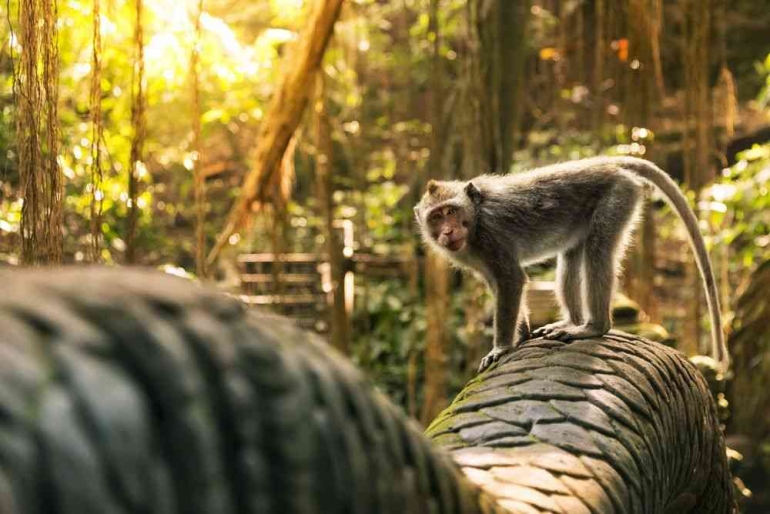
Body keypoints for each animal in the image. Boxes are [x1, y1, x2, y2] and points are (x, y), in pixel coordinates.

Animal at [414, 156, 729, 374]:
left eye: (451, 211)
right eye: (436, 217)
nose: (447, 232)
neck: (476, 218)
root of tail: (608, 162)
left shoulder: (492, 236)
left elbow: (511, 280)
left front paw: (501, 347)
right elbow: (498, 284)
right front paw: (523, 333)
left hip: (618, 196)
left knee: (598, 253)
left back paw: (593, 327)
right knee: (571, 257)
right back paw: (572, 322)